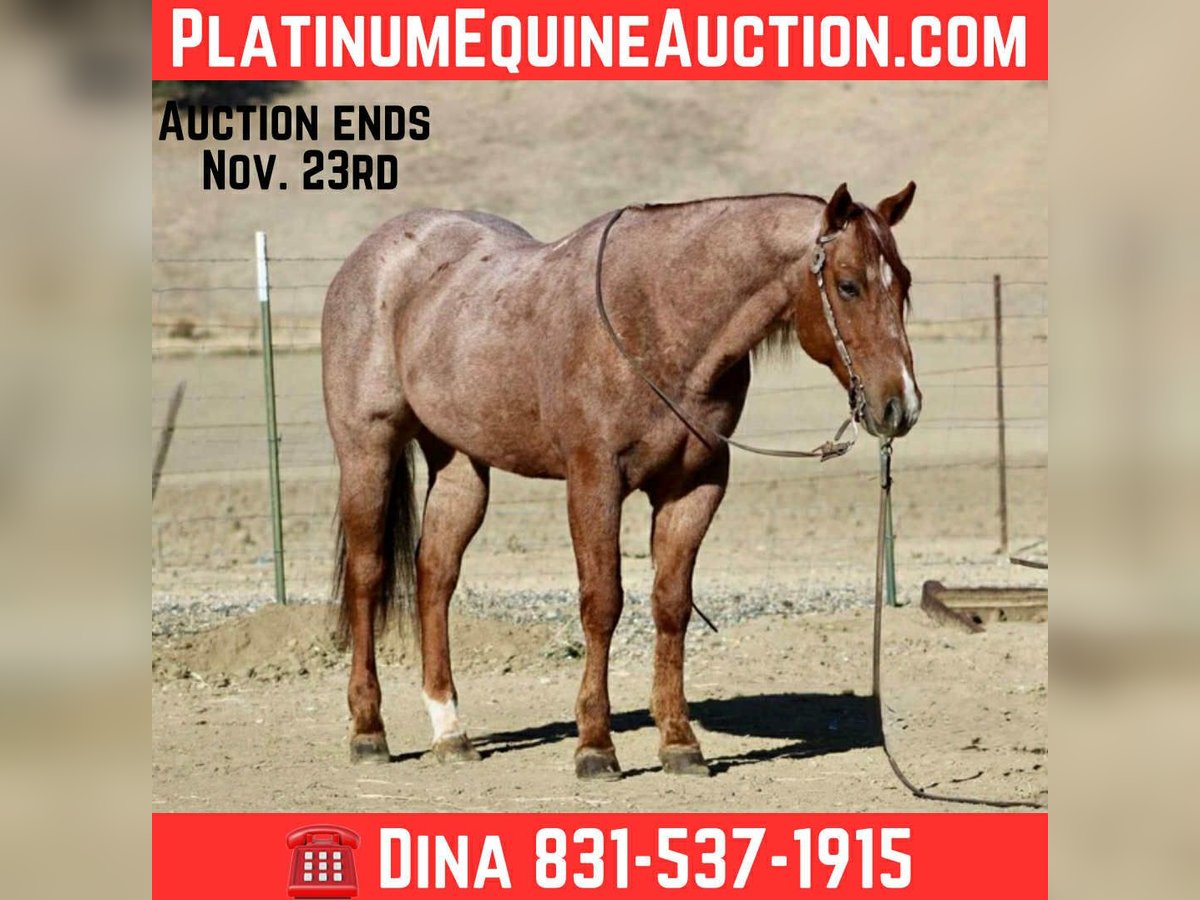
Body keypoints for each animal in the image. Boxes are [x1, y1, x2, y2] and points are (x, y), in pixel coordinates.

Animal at [321, 183, 921, 779]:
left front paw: (679, 741)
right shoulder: (594, 480)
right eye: (848, 284)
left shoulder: (695, 487)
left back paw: (450, 731)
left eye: (905, 283)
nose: (901, 406)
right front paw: (595, 745)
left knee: (435, 575)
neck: (661, 319)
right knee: (369, 574)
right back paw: (368, 731)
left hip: (460, 464)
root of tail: (373, 257)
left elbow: (671, 604)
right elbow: (602, 603)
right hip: (367, 450)